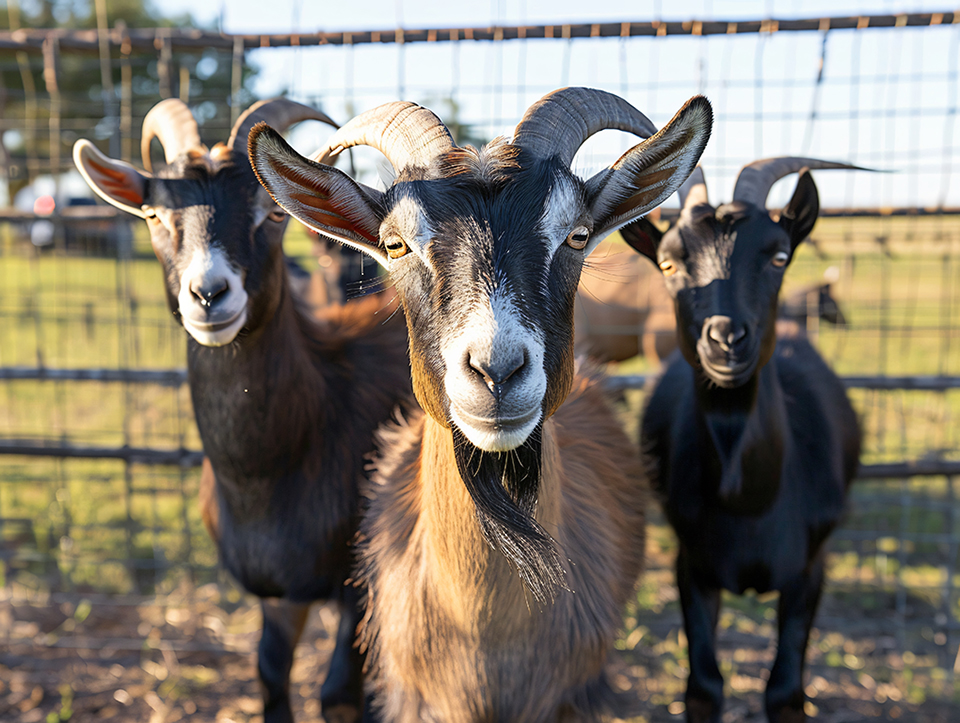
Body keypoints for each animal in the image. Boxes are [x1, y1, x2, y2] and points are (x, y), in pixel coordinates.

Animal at [71, 97, 408, 723]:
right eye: (154, 215)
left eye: (272, 214)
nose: (209, 295)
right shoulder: (277, 590)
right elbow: (270, 675)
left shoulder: (362, 585)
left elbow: (341, 695)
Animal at [624, 158, 864, 723]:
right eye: (668, 264)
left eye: (779, 256)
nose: (725, 340)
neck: (749, 502)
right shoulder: (692, 566)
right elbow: (704, 685)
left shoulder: (810, 569)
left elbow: (785, 691)